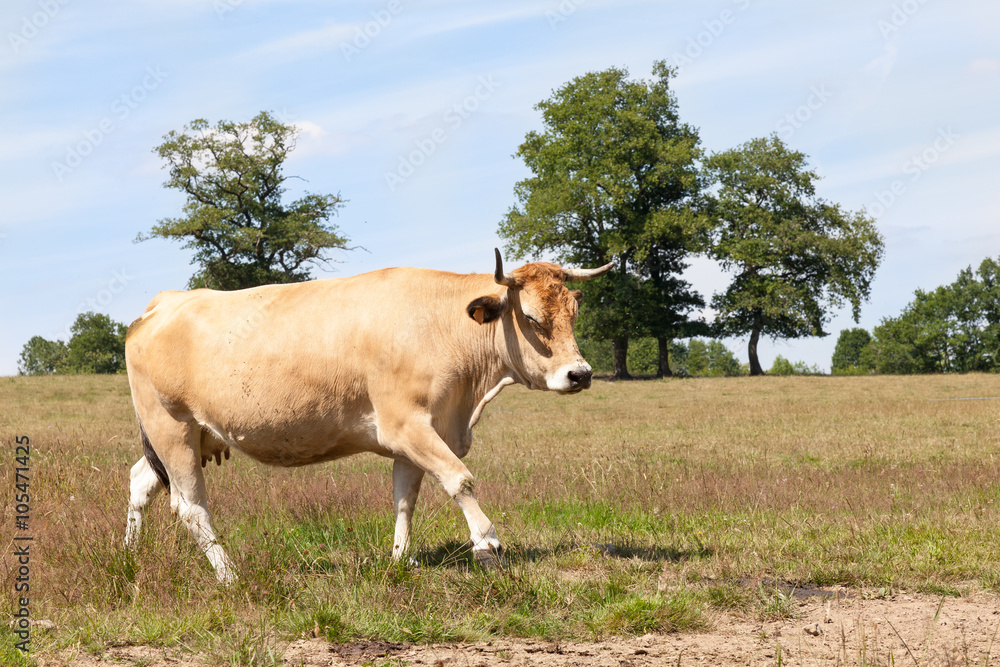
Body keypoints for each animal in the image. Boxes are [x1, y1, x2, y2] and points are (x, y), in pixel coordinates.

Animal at [123, 248, 608, 580]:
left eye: (573, 312)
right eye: (532, 318)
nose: (580, 374)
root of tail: (163, 302)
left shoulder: (421, 436)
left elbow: (405, 499)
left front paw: (400, 560)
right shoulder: (407, 427)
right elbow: (459, 479)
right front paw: (487, 543)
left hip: (195, 436)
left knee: (141, 482)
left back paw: (130, 554)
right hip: (171, 428)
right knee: (190, 507)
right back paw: (228, 575)